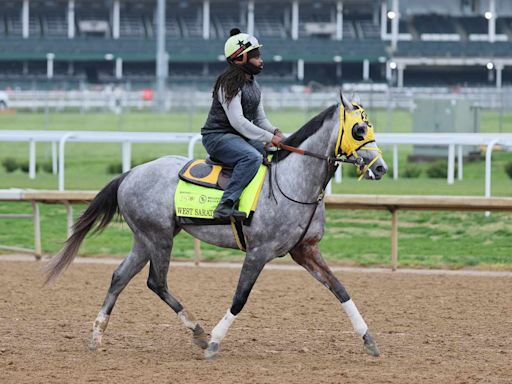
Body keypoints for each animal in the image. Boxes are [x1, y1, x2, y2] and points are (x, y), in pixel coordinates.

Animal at [46, 94, 388, 358]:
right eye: (359, 129)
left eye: (370, 126)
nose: (381, 167)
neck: (293, 183)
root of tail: (130, 173)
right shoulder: (258, 252)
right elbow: (240, 298)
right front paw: (214, 343)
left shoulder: (305, 250)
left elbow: (340, 289)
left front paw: (369, 340)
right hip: (158, 237)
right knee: (156, 282)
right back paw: (198, 332)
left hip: (144, 239)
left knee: (119, 277)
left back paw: (97, 337)